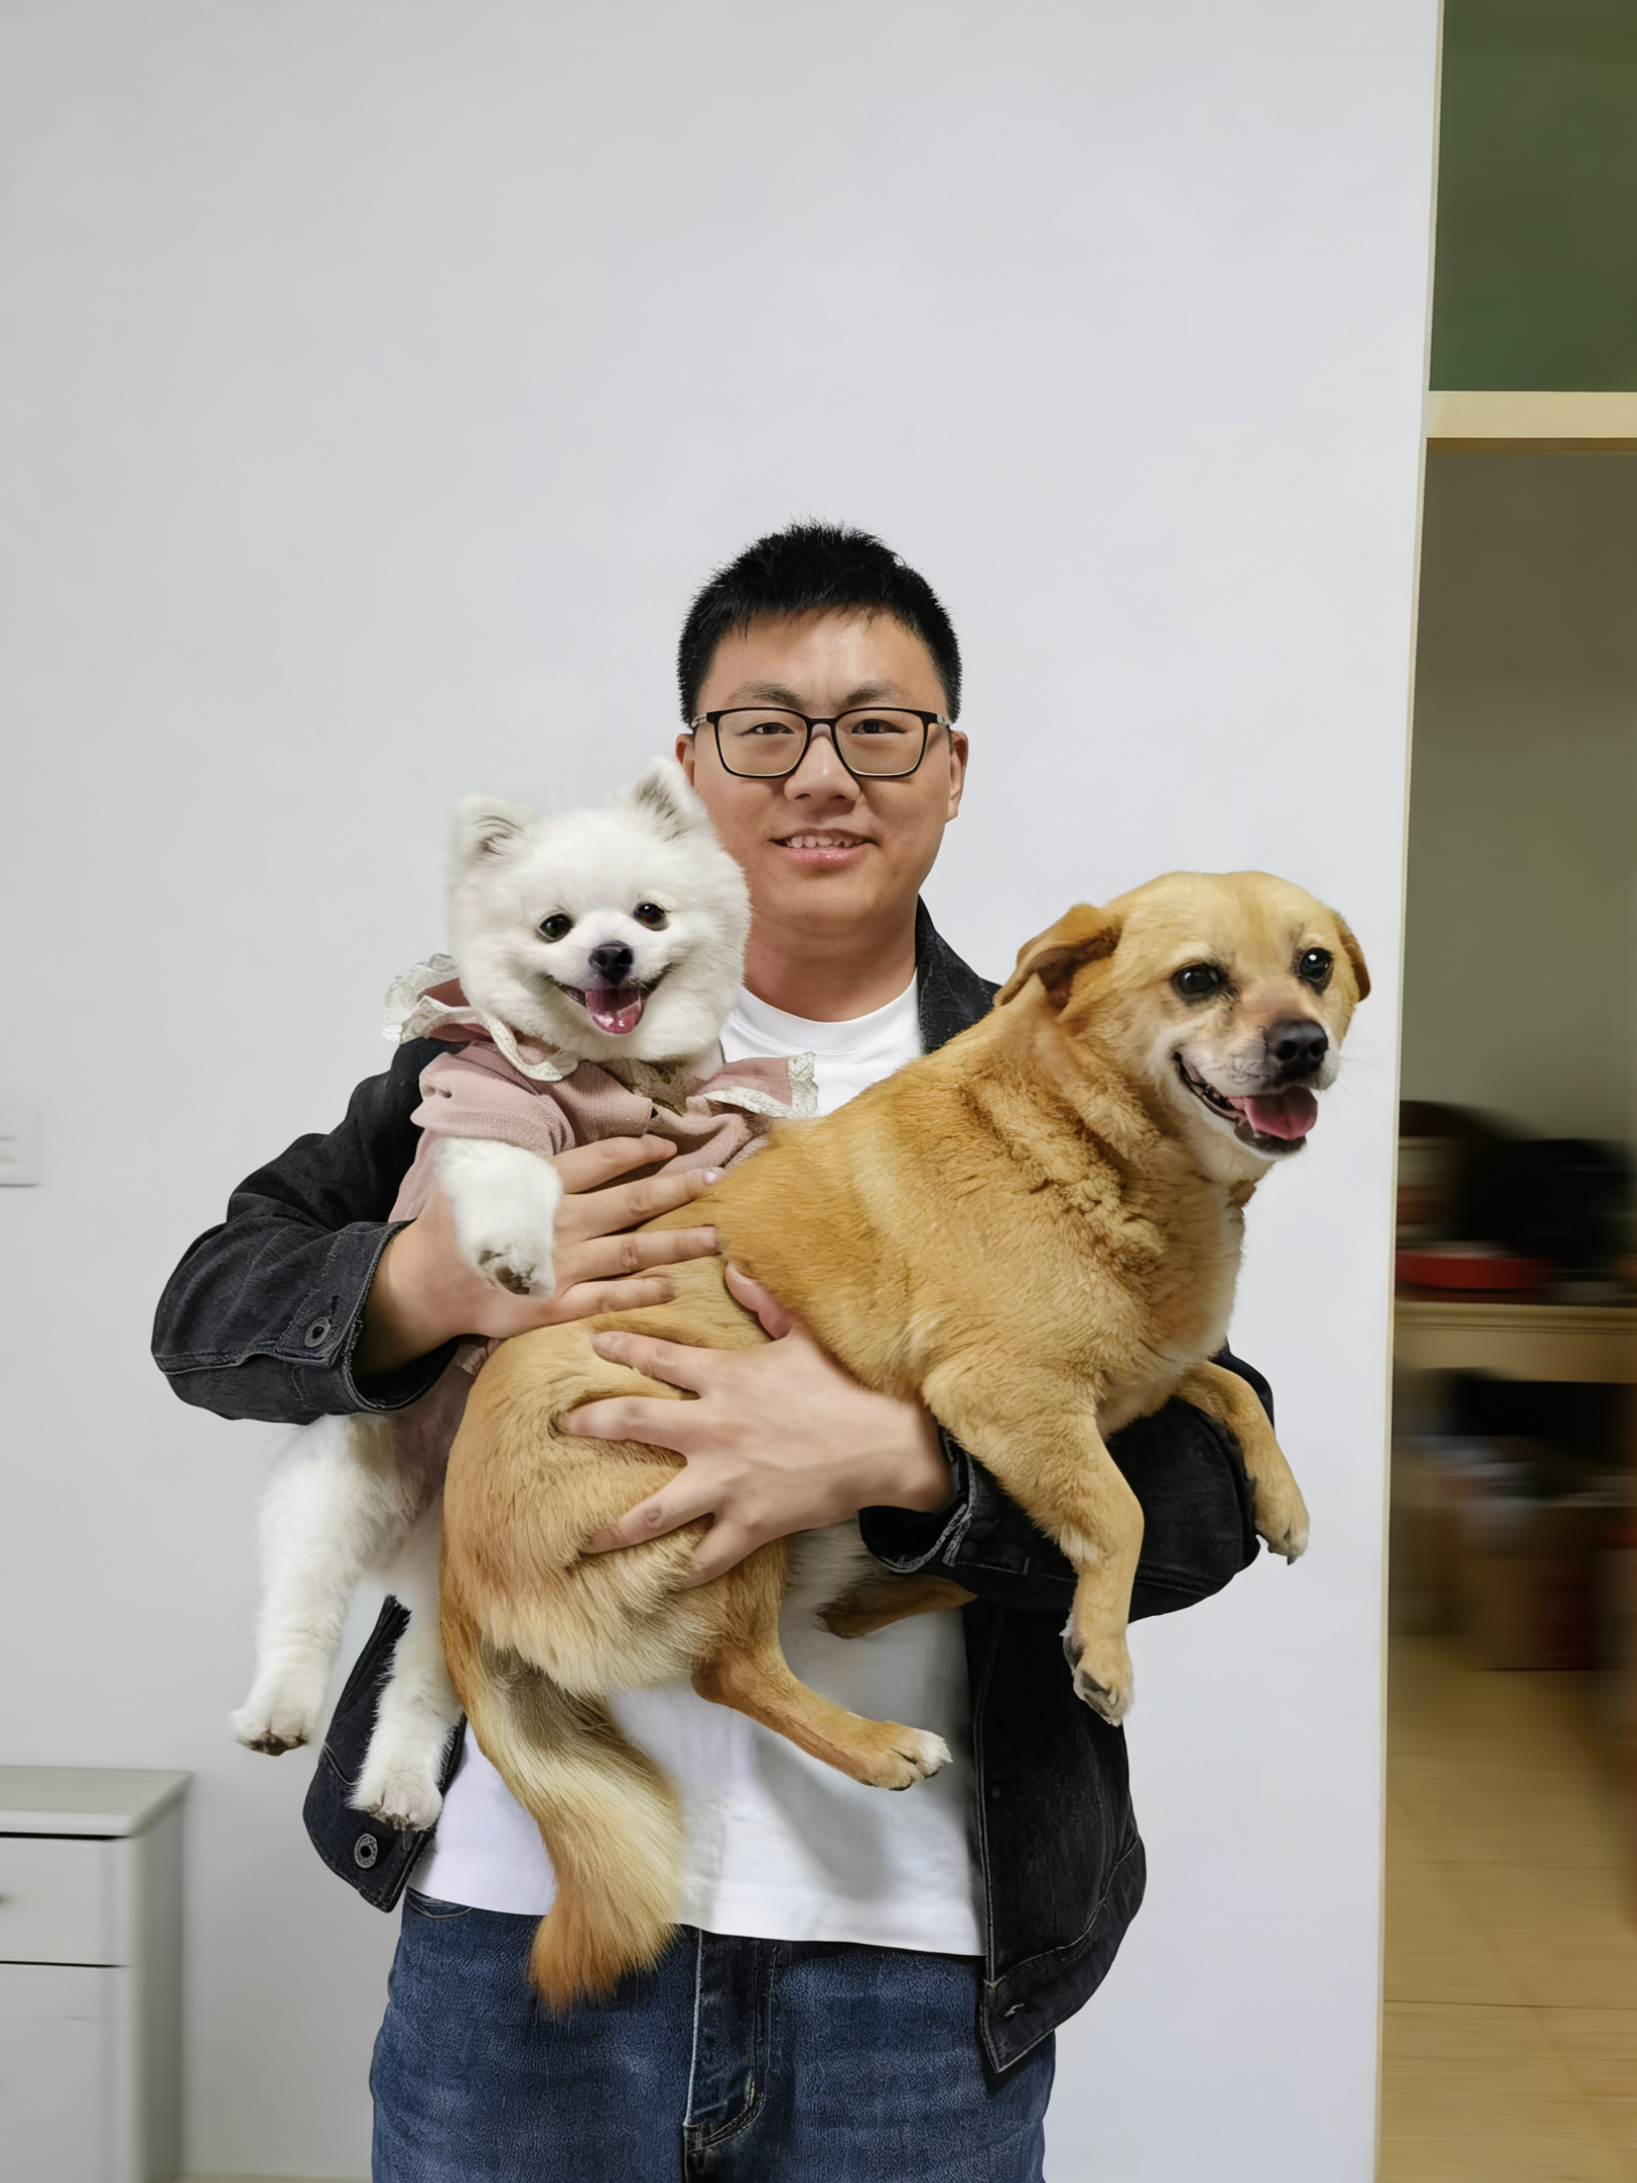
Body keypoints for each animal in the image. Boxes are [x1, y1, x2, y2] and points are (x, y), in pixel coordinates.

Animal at [232, 759, 809, 1830]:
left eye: (649, 912)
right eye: (554, 926)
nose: (613, 951)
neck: (621, 1069)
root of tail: (420, 1516)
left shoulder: (717, 1146)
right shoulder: (487, 1106)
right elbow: (512, 1179)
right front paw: (515, 1258)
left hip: (465, 1581)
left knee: (424, 1682)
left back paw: (400, 1786)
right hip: (338, 1480)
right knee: (302, 1603)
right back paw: (278, 1710)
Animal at [437, 869, 1370, 2004]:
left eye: (1314, 966)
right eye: (1198, 979)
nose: (1300, 1043)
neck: (1085, 1139)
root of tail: (457, 1575)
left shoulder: (1129, 1385)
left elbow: (1227, 1393)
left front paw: (1280, 1499)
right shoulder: (1006, 1397)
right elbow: (1119, 1511)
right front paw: (1103, 1648)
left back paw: (871, 1604)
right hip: (725, 1514)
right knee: (733, 1672)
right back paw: (880, 1745)